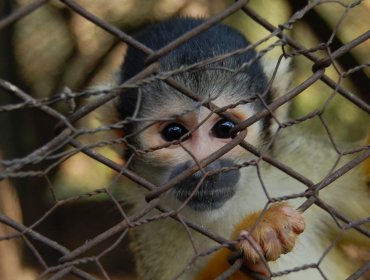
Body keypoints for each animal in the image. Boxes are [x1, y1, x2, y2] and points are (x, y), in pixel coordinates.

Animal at [110, 18, 370, 278]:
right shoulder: (150, 231)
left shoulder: (300, 158)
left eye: (225, 128)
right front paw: (262, 230)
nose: (208, 171)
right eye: (174, 133)